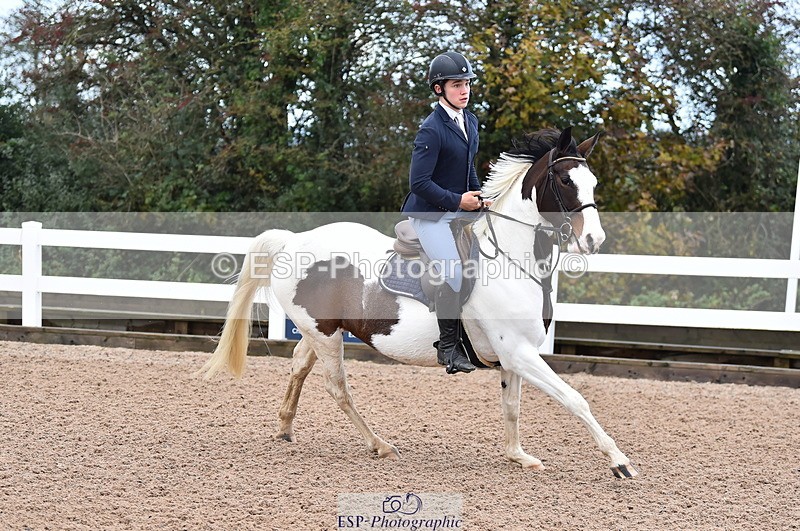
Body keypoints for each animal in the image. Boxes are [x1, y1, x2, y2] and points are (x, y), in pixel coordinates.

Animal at [199, 127, 638, 479]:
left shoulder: (514, 354)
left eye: (593, 181)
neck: (513, 258)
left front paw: (518, 456)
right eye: (564, 179)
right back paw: (379, 444)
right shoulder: (520, 351)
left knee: (299, 367)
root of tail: (293, 240)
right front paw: (619, 462)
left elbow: (512, 406)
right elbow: (576, 400)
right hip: (326, 335)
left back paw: (285, 427)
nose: (594, 241)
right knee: (337, 388)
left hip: (319, 330)